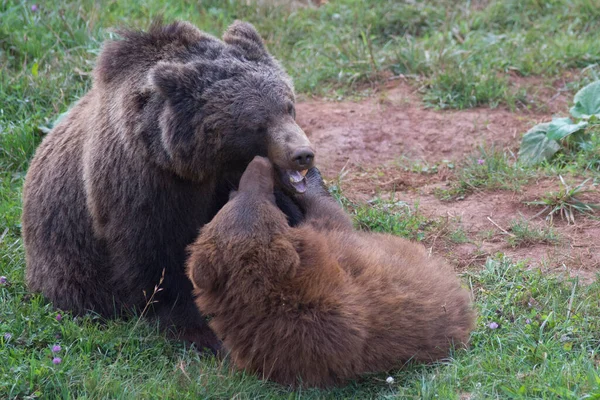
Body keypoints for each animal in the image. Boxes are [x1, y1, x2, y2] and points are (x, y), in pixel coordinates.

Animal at [22, 21, 314, 350]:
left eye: (288, 106)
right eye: (257, 123)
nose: (302, 154)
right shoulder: (146, 186)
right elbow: (159, 260)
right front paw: (199, 330)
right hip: (68, 258)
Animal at [185, 157, 476, 388]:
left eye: (234, 198)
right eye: (266, 198)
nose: (259, 162)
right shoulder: (335, 250)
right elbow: (332, 216)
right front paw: (311, 178)